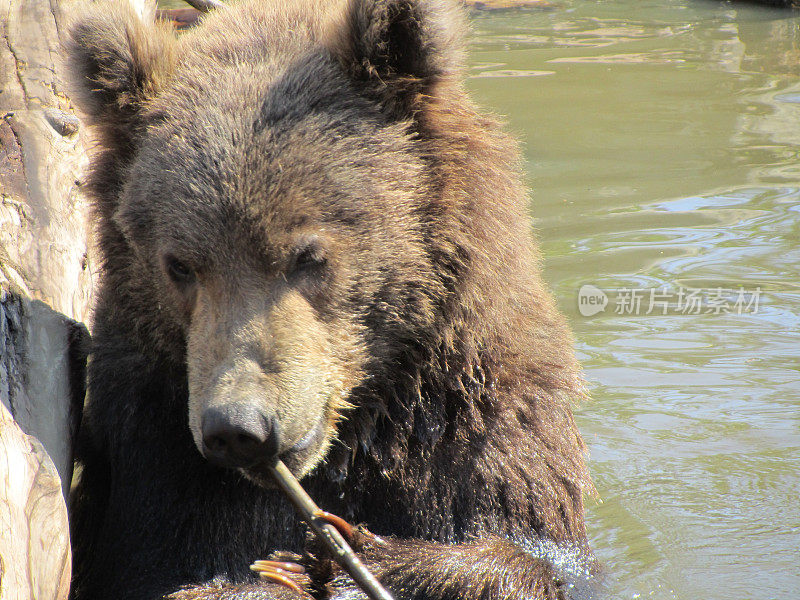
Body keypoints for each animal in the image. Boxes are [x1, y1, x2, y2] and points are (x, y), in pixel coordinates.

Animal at [67, 0, 592, 596]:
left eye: (307, 255)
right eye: (179, 263)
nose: (238, 428)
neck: (361, 429)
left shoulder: (475, 421)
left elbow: (519, 552)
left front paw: (345, 558)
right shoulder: (154, 462)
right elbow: (169, 566)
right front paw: (282, 571)